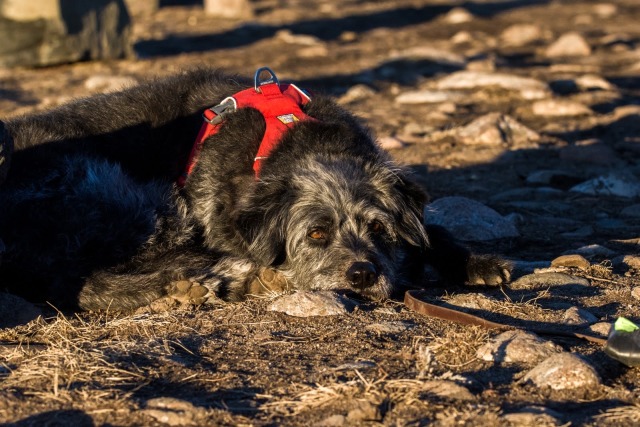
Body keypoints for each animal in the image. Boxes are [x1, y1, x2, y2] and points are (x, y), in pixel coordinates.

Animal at [0, 68, 510, 312]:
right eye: (317, 234)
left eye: (379, 230)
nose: (363, 275)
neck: (295, 142)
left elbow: (431, 229)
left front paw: (476, 261)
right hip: (136, 200)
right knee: (86, 281)